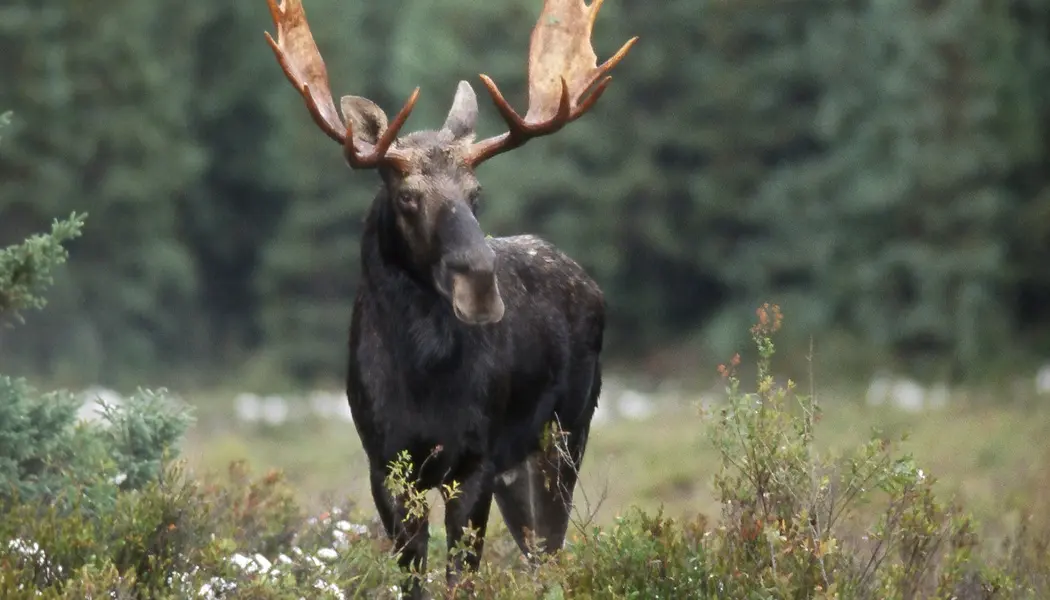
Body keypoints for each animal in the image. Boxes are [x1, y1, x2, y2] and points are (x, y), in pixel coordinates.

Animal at [264, 0, 636, 596]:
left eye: (476, 194)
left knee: (551, 551)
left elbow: (461, 575)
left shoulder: (475, 462)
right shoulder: (387, 465)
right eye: (408, 197)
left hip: (564, 434)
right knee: (536, 549)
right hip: (520, 466)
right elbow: (413, 577)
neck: (422, 375)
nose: (479, 283)